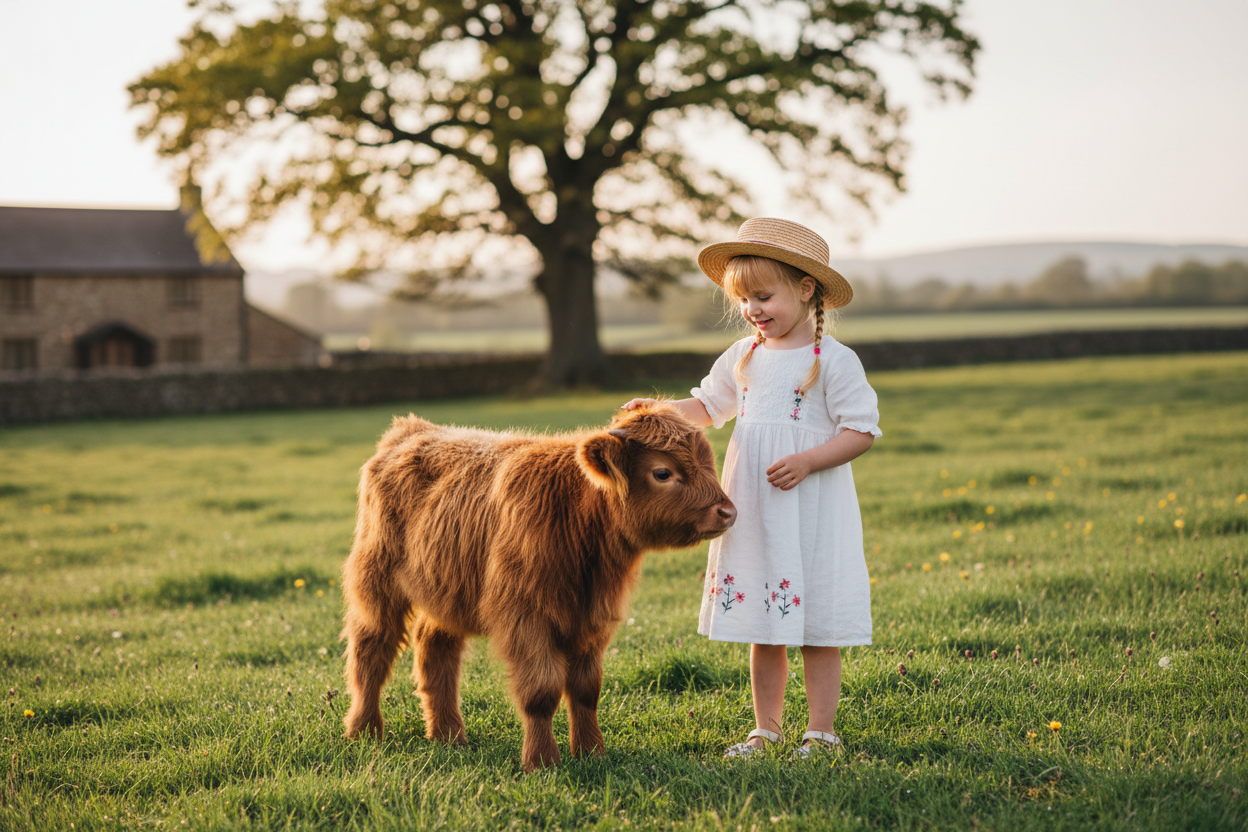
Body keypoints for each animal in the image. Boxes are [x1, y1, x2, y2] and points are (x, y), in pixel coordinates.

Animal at [340, 402, 736, 771]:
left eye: (707, 462)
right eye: (662, 472)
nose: (728, 512)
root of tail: (409, 429)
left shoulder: (592, 620)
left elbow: (585, 690)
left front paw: (591, 752)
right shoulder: (526, 618)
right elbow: (541, 692)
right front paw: (542, 761)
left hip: (445, 591)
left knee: (435, 651)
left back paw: (449, 735)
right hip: (376, 583)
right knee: (371, 650)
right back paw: (364, 730)